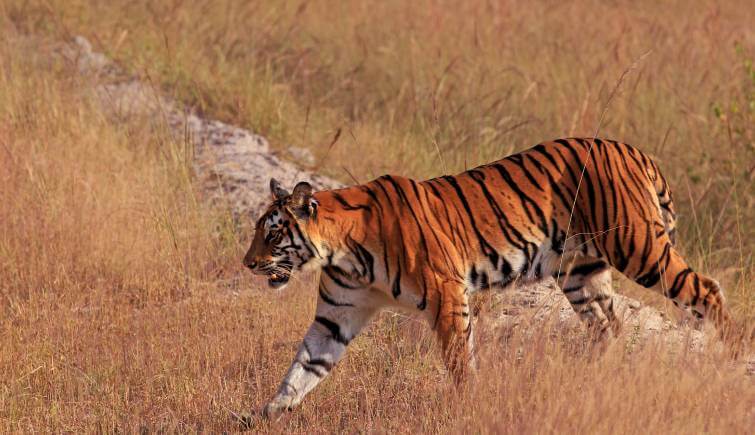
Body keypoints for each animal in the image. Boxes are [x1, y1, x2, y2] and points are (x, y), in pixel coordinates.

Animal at [244, 136, 732, 418]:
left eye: (273, 233)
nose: (247, 263)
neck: (344, 251)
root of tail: (634, 149)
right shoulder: (337, 314)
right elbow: (304, 366)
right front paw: (265, 413)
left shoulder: (447, 293)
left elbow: (460, 359)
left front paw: (468, 406)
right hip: (581, 272)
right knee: (609, 327)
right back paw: (591, 384)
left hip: (639, 248)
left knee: (706, 291)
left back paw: (731, 353)